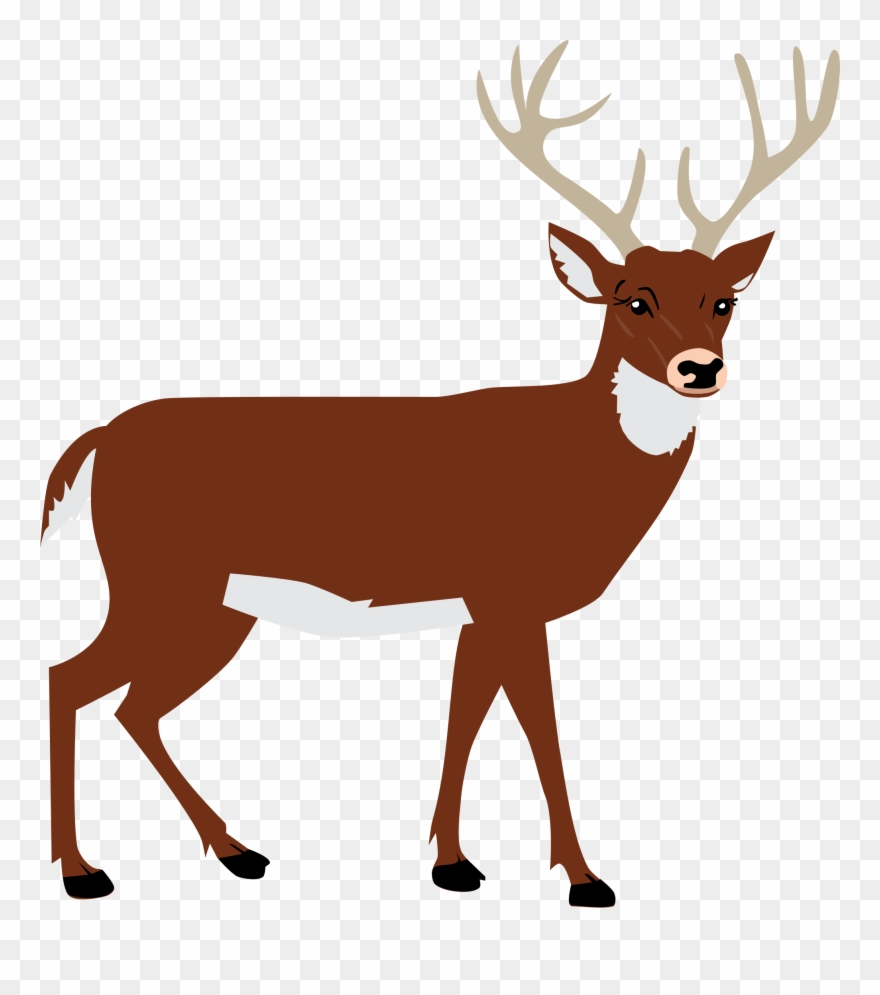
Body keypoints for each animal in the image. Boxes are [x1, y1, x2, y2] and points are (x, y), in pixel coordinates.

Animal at [41, 41, 839, 906]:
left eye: (724, 300)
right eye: (632, 299)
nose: (700, 368)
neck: (577, 463)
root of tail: (99, 441)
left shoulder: (478, 607)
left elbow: (464, 718)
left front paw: (452, 862)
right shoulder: (509, 593)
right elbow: (540, 728)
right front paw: (584, 876)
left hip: (216, 605)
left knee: (131, 707)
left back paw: (236, 849)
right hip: (160, 579)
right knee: (69, 679)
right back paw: (84, 871)